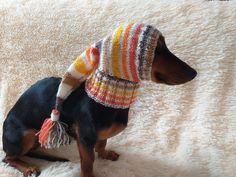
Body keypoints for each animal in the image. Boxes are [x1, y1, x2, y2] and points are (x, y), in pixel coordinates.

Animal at [2, 23, 197, 177]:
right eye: (157, 49)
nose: (194, 72)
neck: (106, 97)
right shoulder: (84, 138)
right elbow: (88, 161)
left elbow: (103, 141)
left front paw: (104, 153)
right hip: (25, 135)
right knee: (8, 158)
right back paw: (28, 167)